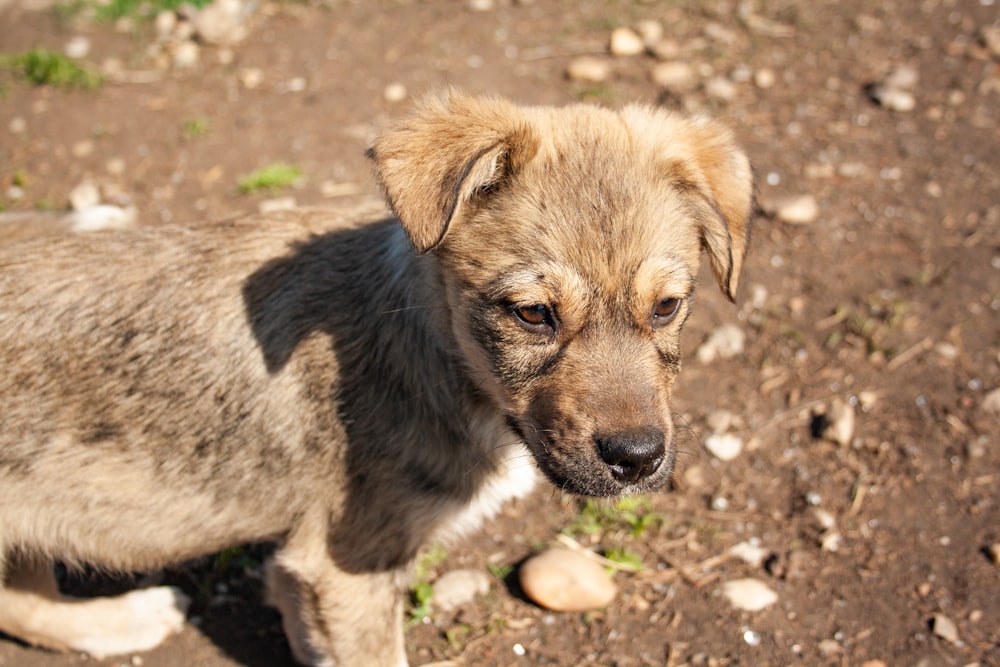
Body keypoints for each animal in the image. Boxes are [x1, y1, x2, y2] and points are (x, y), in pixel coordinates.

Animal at [0, 92, 752, 667]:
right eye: (533, 314)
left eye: (667, 306)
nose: (638, 459)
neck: (443, 362)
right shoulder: (348, 567)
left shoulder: (311, 574)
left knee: (24, 599)